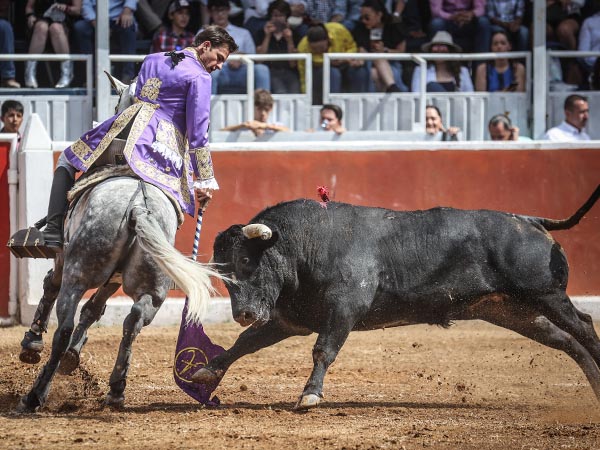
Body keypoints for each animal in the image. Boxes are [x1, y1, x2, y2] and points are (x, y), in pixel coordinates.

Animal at [15, 73, 218, 412]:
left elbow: (52, 288)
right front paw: (74, 356)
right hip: (153, 285)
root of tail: (138, 205)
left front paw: (32, 343)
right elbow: (94, 310)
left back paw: (35, 394)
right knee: (133, 321)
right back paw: (116, 388)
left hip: (79, 271)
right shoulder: (115, 277)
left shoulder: (65, 262)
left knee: (64, 323)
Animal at [191, 185, 600, 410]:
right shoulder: (290, 321)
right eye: (221, 271)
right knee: (566, 341)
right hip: (514, 311)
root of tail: (530, 221)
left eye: (246, 260)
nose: (243, 313)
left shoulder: (344, 310)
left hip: (547, 295)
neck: (306, 244)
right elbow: (245, 343)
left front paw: (310, 396)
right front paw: (207, 371)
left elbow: (324, 350)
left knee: (584, 326)